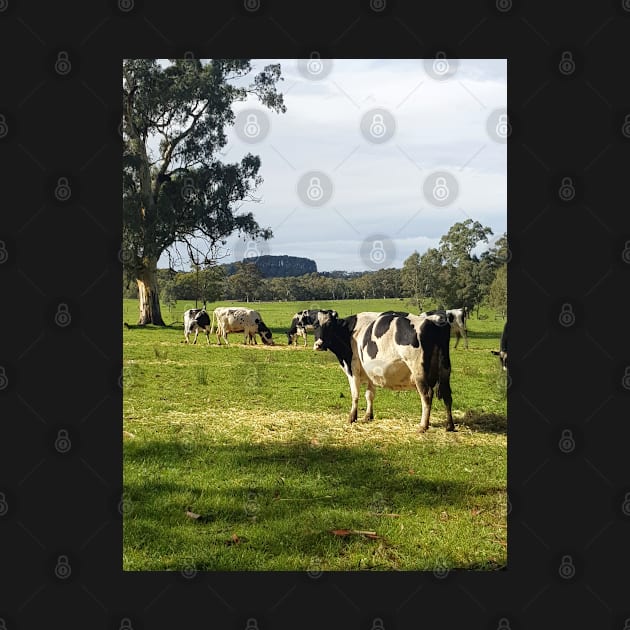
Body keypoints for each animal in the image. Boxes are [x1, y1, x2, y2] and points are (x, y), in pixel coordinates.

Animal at [312, 312, 454, 434]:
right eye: (315, 325)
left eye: (329, 325)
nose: (318, 345)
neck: (349, 332)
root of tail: (435, 322)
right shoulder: (371, 373)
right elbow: (369, 395)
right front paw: (368, 416)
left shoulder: (352, 369)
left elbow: (355, 395)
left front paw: (352, 417)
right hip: (445, 369)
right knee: (447, 395)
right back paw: (449, 426)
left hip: (419, 372)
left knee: (427, 395)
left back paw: (423, 426)